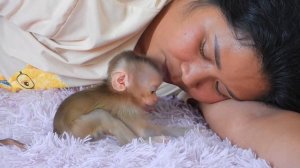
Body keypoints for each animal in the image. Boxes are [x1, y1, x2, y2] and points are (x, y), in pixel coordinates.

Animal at [52, 50, 186, 144]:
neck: (123, 94)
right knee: (102, 115)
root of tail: (59, 134)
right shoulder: (128, 108)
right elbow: (145, 131)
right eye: (153, 91)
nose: (155, 99)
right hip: (77, 131)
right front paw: (185, 130)